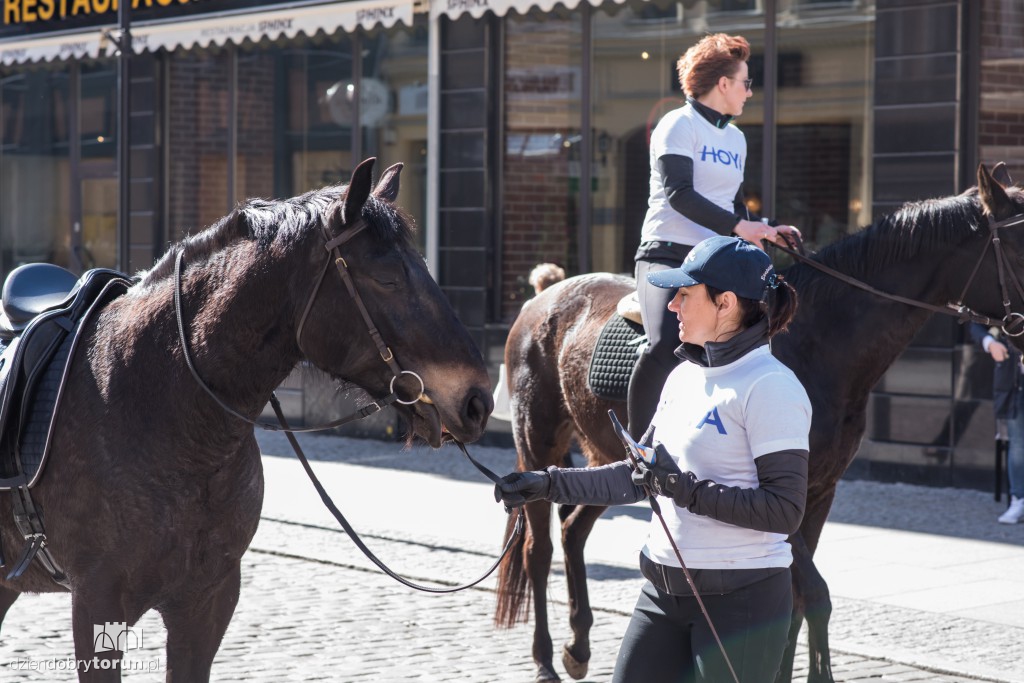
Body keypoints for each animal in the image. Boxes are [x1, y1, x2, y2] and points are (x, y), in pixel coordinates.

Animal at [495, 162, 1024, 679]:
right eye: (1021, 240)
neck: (815, 343)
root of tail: (544, 295)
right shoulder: (782, 501)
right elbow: (814, 596)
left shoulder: (817, 492)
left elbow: (790, 602)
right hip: (537, 439)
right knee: (538, 549)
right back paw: (545, 659)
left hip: (602, 450)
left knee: (572, 528)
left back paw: (578, 647)